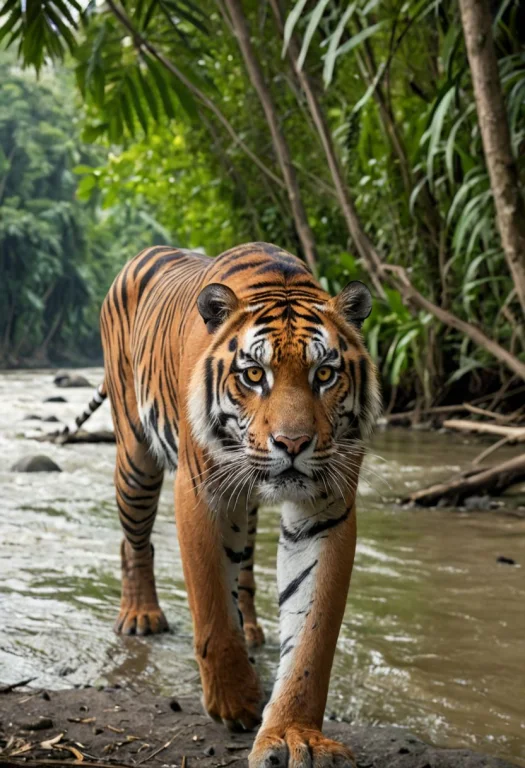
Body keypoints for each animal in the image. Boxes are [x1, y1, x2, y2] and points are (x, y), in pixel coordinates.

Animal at [65, 242, 381, 768]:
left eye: (324, 374)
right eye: (254, 374)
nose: (292, 443)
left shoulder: (325, 509)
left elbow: (312, 637)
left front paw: (295, 734)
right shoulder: (201, 493)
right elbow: (212, 603)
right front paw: (235, 701)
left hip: (243, 507)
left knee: (245, 570)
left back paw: (250, 627)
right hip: (136, 458)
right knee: (134, 543)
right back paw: (140, 616)